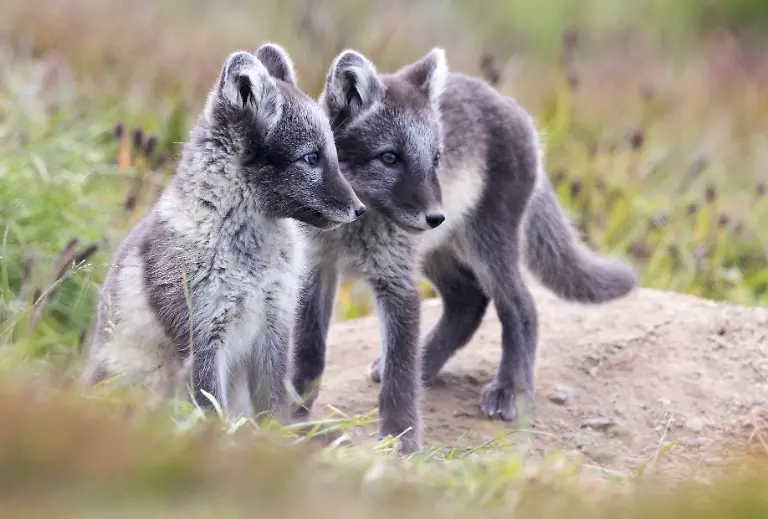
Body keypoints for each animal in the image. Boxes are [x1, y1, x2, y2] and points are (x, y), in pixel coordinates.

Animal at [82, 44, 366, 420]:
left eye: (332, 154)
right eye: (311, 158)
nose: (360, 209)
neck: (251, 260)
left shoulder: (274, 325)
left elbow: (274, 408)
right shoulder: (202, 337)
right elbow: (210, 412)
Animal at [290, 48, 637, 453]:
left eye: (436, 159)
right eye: (390, 157)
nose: (435, 216)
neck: (350, 230)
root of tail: (514, 107)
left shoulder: (397, 283)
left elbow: (399, 377)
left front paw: (400, 439)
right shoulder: (315, 272)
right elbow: (308, 354)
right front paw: (293, 415)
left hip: (488, 245)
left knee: (522, 308)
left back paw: (509, 390)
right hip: (438, 253)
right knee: (468, 302)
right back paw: (426, 364)